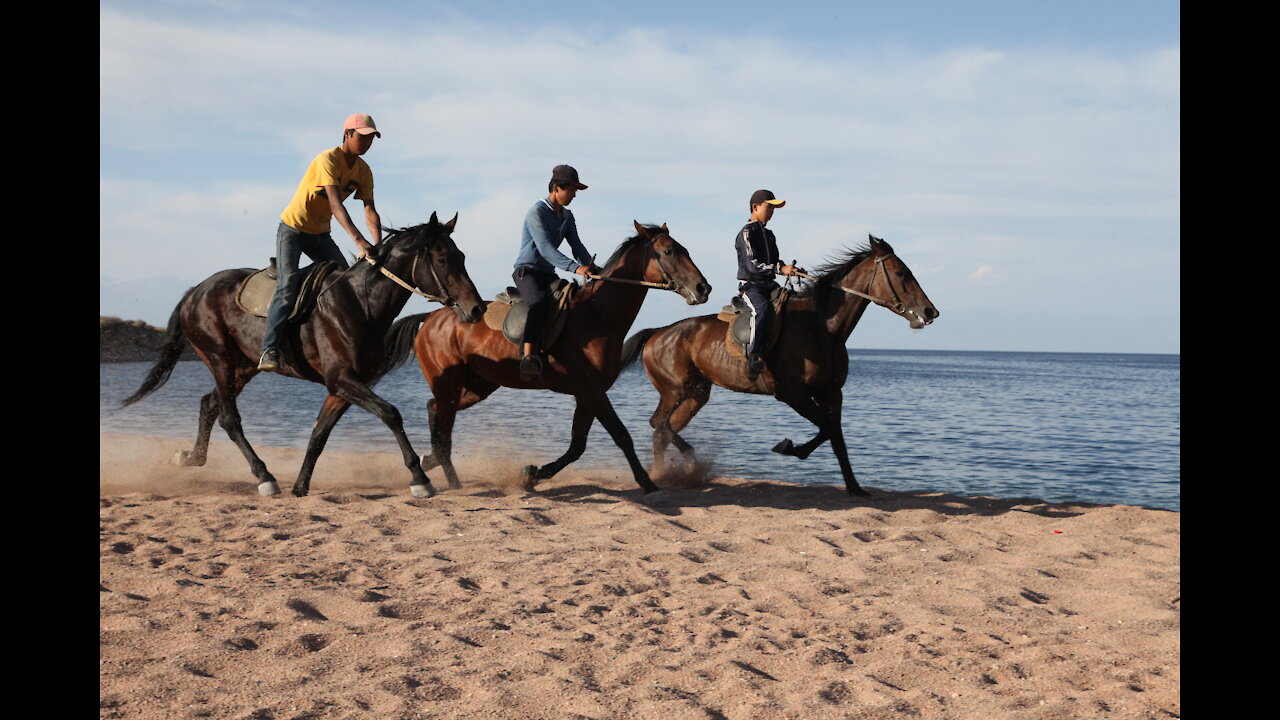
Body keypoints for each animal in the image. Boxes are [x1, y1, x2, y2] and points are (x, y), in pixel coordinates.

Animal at [120, 210, 483, 497]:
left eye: (464, 257)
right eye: (441, 259)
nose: (476, 308)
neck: (359, 303)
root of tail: (194, 292)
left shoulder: (343, 387)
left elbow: (319, 433)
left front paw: (301, 485)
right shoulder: (342, 379)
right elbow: (391, 414)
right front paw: (419, 478)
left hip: (243, 366)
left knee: (209, 404)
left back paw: (191, 457)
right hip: (220, 359)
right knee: (228, 417)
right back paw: (264, 477)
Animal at [384, 221, 716, 502]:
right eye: (669, 251)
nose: (704, 288)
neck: (596, 317)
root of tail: (430, 317)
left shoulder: (588, 394)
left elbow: (577, 447)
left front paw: (532, 474)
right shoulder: (591, 391)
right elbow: (621, 435)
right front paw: (648, 484)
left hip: (477, 387)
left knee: (435, 412)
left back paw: (435, 464)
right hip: (451, 386)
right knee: (441, 421)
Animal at [619, 233, 942, 497]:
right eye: (901, 273)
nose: (931, 312)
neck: (822, 327)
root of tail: (659, 332)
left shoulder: (831, 392)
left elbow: (836, 436)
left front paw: (854, 487)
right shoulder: (792, 394)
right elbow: (826, 428)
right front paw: (789, 448)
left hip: (696, 393)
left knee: (663, 428)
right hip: (674, 390)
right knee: (659, 424)